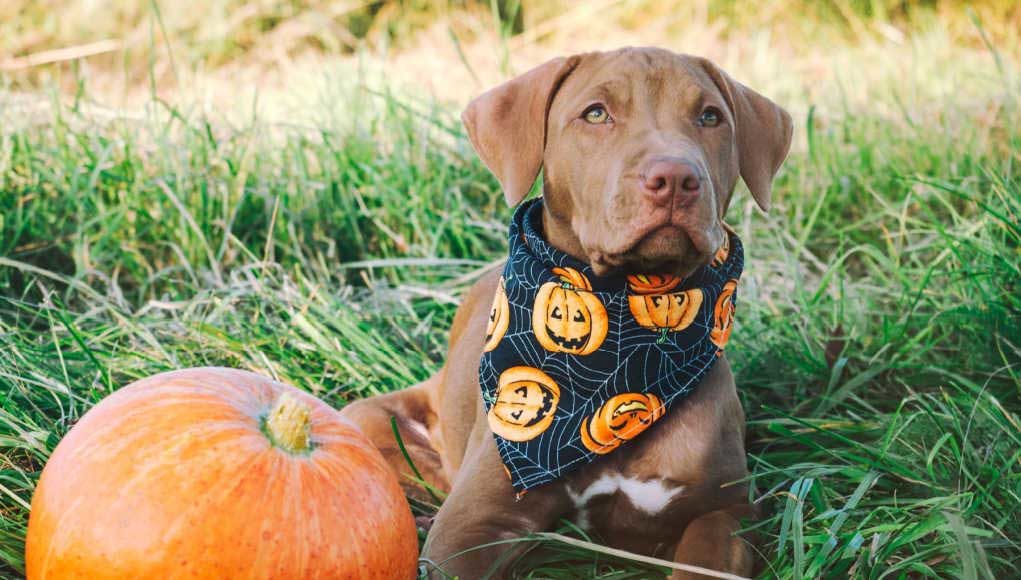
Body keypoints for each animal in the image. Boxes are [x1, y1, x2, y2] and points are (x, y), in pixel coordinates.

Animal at [338, 46, 792, 580]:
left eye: (710, 117)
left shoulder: (723, 509)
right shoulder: (471, 524)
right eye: (595, 114)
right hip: (370, 421)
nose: (676, 179)